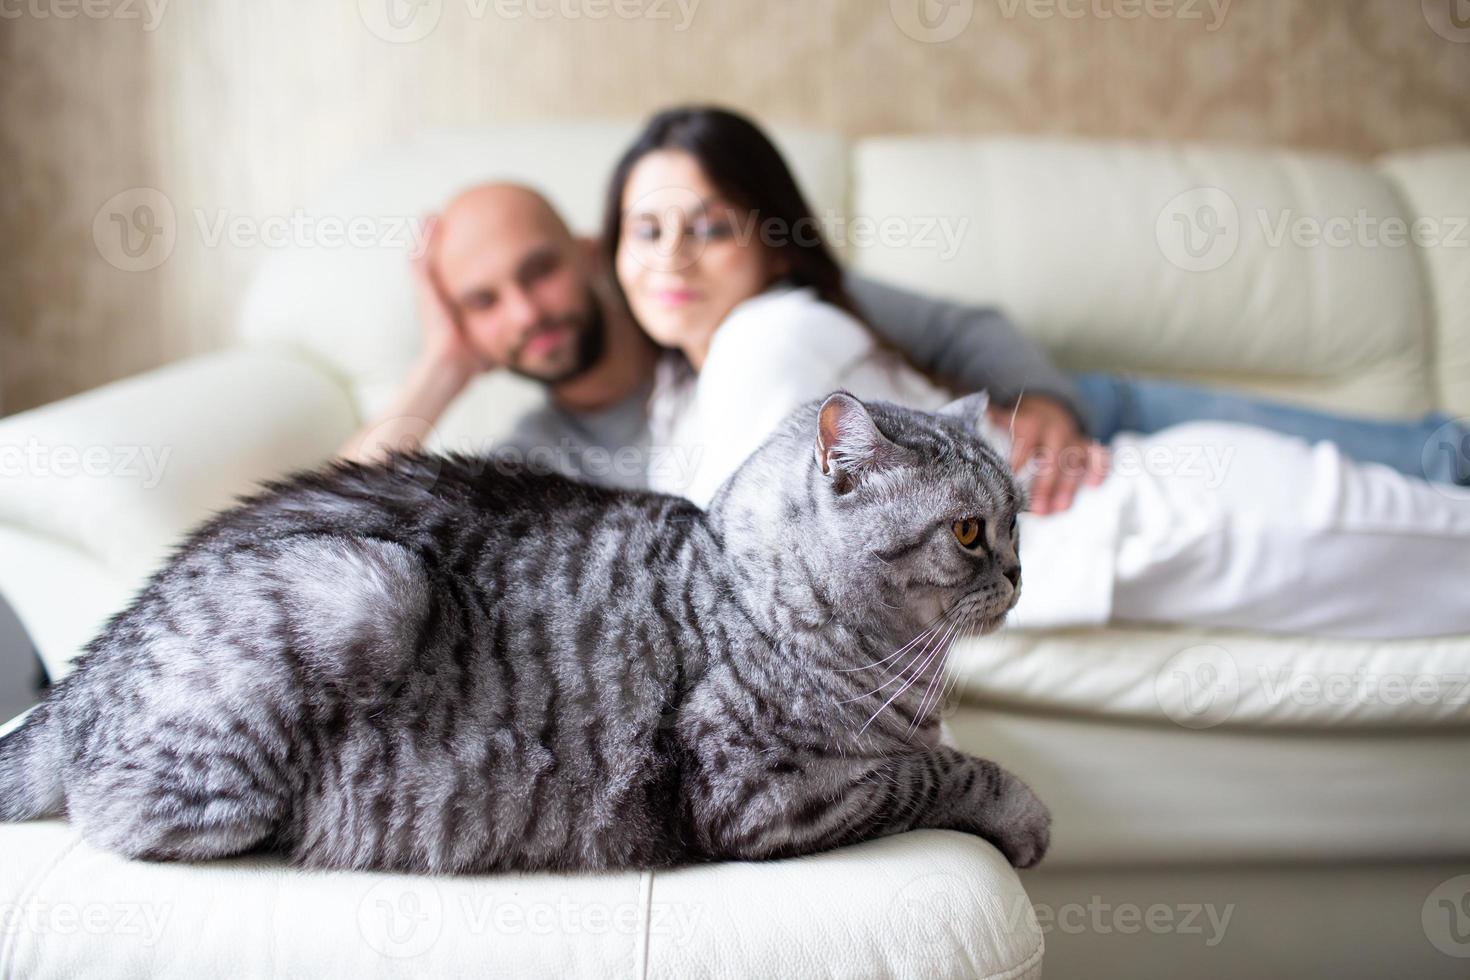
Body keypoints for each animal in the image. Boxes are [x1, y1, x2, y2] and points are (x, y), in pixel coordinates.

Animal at [0, 390, 1046, 875]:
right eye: (969, 532)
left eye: (1018, 521)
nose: (1019, 575)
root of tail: (77, 682)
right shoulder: (769, 797)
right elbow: (937, 772)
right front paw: (1023, 814)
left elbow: (930, 757)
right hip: (356, 590)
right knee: (117, 813)